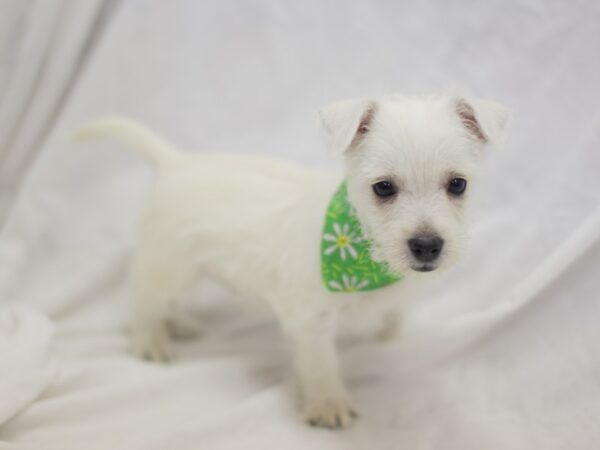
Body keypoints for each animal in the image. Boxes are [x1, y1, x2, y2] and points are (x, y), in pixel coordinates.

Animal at [72, 95, 508, 428]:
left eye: (457, 184)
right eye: (383, 188)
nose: (427, 246)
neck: (363, 258)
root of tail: (175, 162)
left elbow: (393, 319)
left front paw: (389, 338)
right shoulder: (311, 320)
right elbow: (321, 363)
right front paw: (326, 405)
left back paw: (178, 323)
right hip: (170, 265)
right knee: (143, 295)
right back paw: (150, 340)